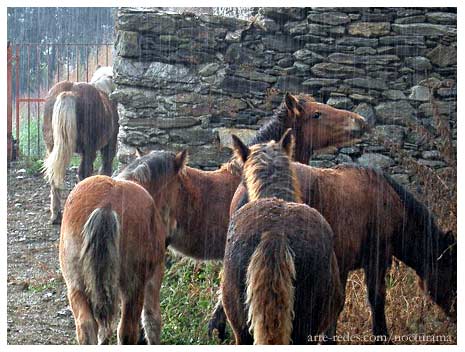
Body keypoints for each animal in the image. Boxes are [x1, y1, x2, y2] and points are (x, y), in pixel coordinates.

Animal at [41, 67, 119, 224]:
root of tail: (70, 92)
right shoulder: (108, 146)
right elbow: (105, 167)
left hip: (52, 147)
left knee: (54, 177)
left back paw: (56, 215)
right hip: (89, 149)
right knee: (85, 173)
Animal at [59, 149, 187, 344]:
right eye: (179, 186)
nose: (172, 229)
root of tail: (107, 205)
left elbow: (105, 331)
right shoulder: (154, 275)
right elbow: (152, 320)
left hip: (76, 285)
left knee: (86, 325)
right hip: (133, 287)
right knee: (127, 330)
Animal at [227, 161, 454, 342]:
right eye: (452, 271)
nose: (455, 315)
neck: (389, 201)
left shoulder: (342, 267)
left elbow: (339, 305)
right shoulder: (377, 260)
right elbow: (376, 299)